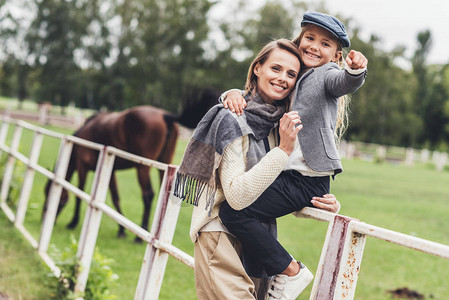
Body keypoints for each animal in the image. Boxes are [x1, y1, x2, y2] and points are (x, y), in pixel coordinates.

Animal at [44, 88, 220, 240]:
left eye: (48, 192)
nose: (44, 215)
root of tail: (165, 115)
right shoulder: (110, 170)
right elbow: (115, 197)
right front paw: (121, 229)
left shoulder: (82, 167)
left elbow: (79, 192)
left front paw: (72, 222)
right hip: (164, 163)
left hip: (143, 167)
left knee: (147, 194)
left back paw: (140, 234)